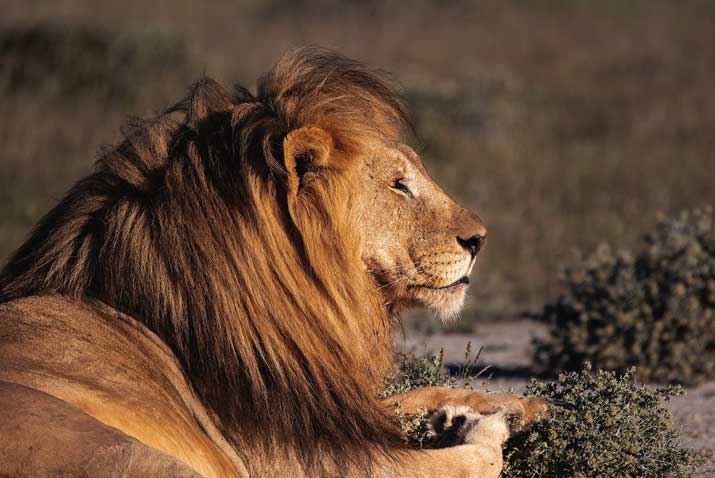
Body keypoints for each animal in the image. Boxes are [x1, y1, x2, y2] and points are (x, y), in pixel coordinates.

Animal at [0, 45, 548, 478]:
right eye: (398, 185)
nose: (479, 240)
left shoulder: (330, 405)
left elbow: (423, 391)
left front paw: (524, 404)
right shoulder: (313, 457)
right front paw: (483, 422)